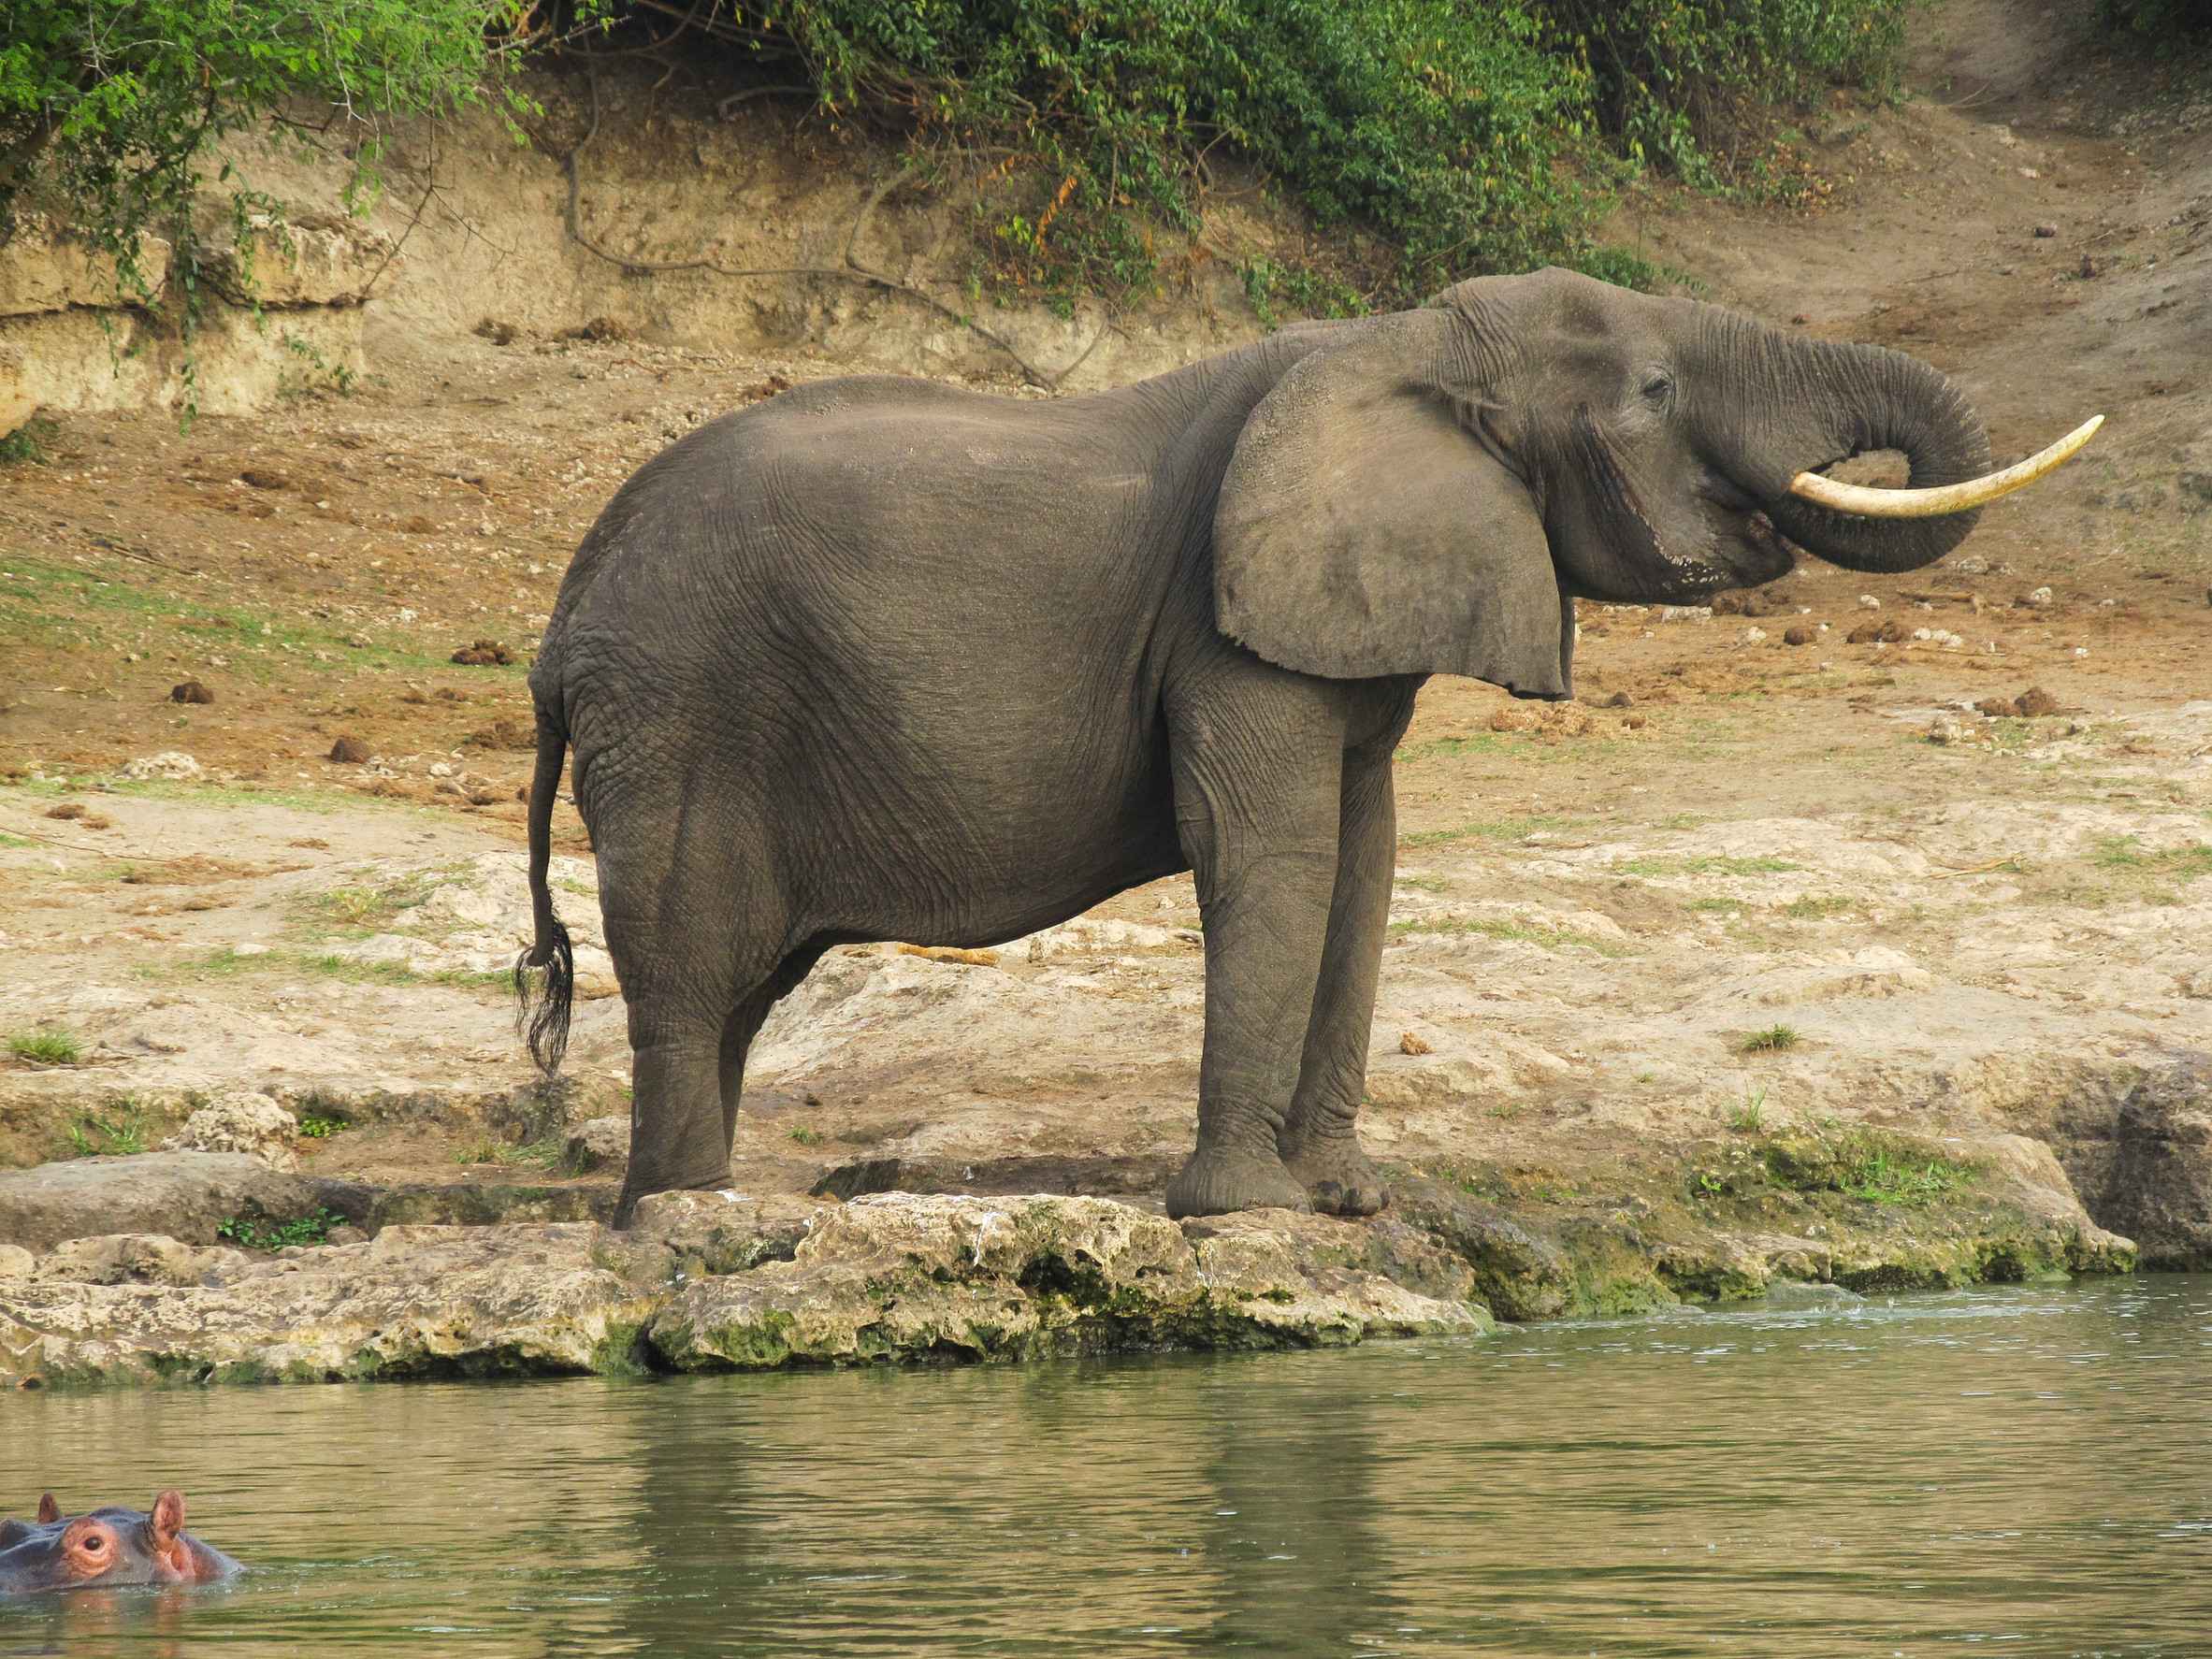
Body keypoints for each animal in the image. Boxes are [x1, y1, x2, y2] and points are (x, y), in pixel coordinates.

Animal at [513, 266, 2094, 1226]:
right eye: (1652, 392)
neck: (1400, 337)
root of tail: (562, 616)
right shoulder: (1231, 628)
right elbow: (1269, 851)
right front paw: (1245, 1212)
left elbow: (1366, 857)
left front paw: (1348, 1199)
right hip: (683, 708)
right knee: (689, 972)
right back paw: (678, 1220)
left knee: (738, 992)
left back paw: (687, 1209)